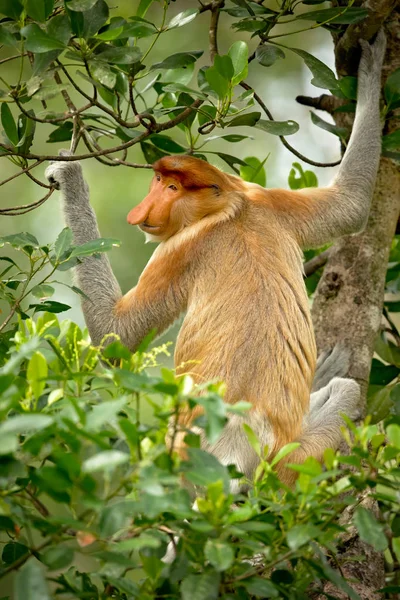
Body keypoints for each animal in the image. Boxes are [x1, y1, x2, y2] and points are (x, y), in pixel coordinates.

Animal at [45, 32, 386, 488]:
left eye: (171, 187)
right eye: (158, 180)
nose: (141, 213)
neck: (230, 208)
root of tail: (240, 446)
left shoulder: (180, 248)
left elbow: (114, 336)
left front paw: (69, 176)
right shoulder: (267, 200)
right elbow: (351, 205)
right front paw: (372, 71)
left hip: (271, 466)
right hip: (297, 459)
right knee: (346, 392)